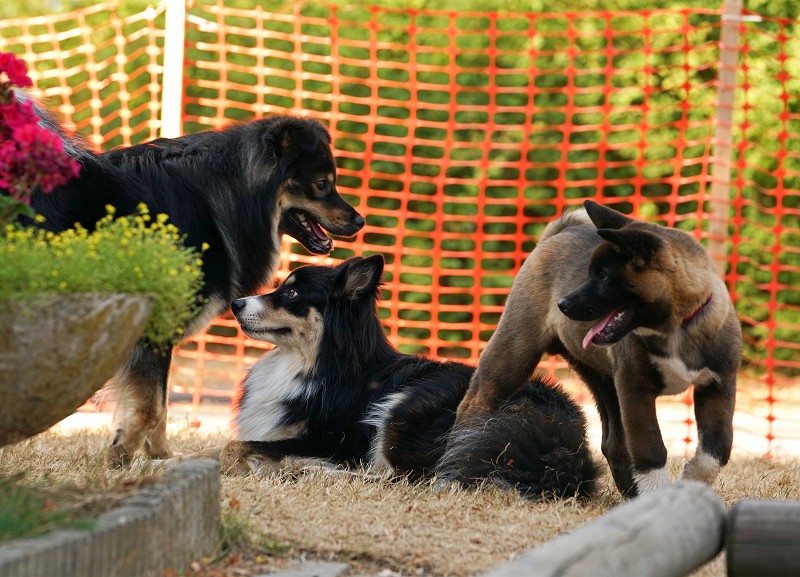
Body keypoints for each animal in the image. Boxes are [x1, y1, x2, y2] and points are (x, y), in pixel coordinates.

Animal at [203, 256, 596, 500]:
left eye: (292, 292)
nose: (236, 304)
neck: (319, 363)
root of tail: (560, 434)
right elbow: (213, 449)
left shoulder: (333, 441)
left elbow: (232, 446)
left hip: (405, 408)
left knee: (408, 478)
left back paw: (312, 471)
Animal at [456, 199, 744, 496]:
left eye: (604, 277)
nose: (562, 304)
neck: (675, 328)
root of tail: (556, 234)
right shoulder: (635, 390)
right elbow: (650, 450)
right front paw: (658, 495)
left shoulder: (718, 386)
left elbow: (718, 448)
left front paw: (690, 482)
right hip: (513, 356)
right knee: (474, 403)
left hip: (604, 381)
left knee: (614, 443)